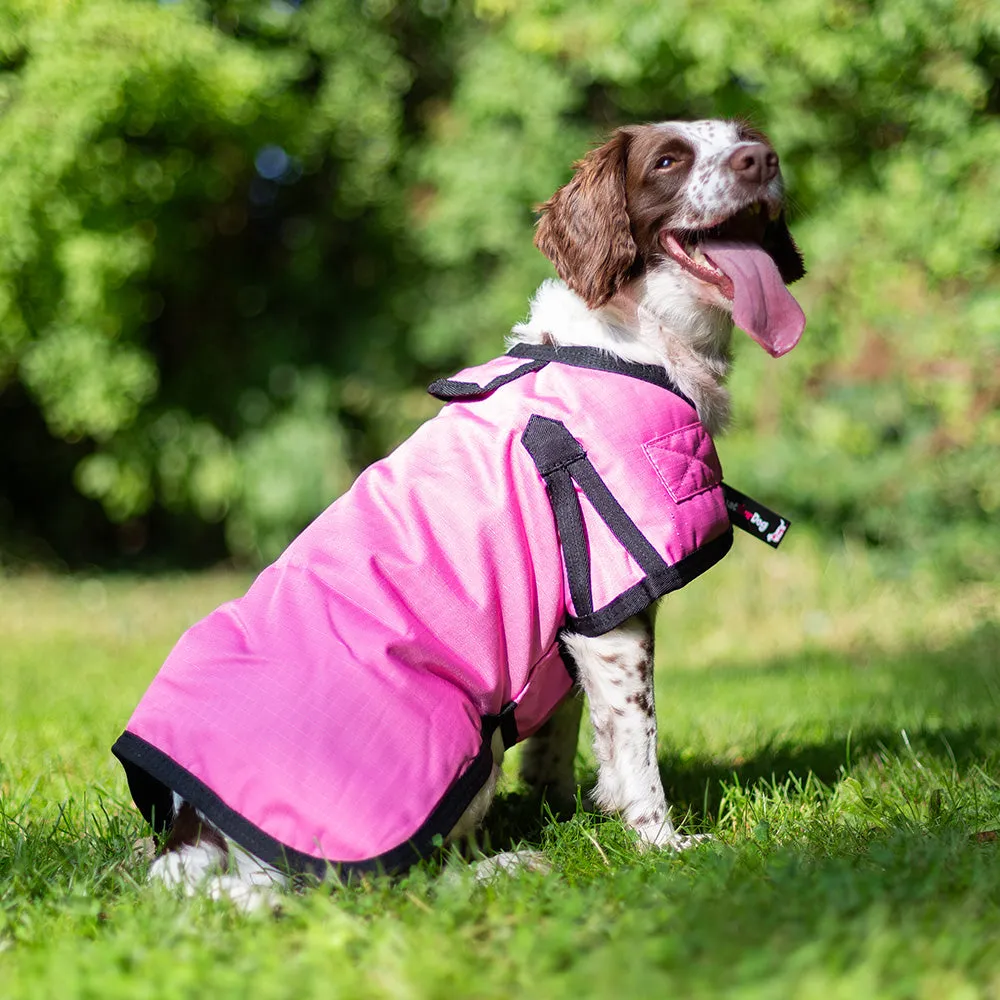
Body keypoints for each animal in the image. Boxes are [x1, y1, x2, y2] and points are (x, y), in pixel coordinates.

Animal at [115, 117, 804, 908]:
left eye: (746, 137)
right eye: (668, 160)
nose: (763, 160)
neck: (632, 342)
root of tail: (194, 839)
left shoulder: (575, 617)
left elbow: (568, 731)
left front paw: (563, 810)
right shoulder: (611, 601)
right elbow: (638, 746)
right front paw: (663, 844)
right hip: (459, 736)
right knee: (391, 884)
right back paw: (505, 866)